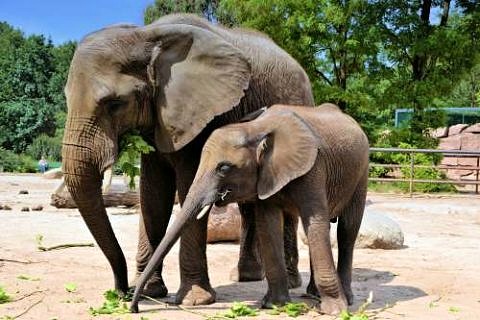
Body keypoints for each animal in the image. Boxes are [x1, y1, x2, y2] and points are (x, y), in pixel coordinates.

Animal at [62, 13, 314, 304]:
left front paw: (194, 300)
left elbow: (188, 187)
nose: (121, 292)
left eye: (114, 104)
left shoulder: (203, 115)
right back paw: (245, 276)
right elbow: (152, 195)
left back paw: (291, 281)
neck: (148, 35)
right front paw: (148, 292)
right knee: (249, 204)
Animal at [130, 104, 368, 314]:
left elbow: (316, 221)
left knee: (346, 231)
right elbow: (268, 224)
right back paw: (313, 295)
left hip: (361, 174)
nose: (133, 307)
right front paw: (274, 306)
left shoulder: (313, 167)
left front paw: (335, 311)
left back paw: (345, 298)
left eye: (224, 168)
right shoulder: (264, 176)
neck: (256, 129)